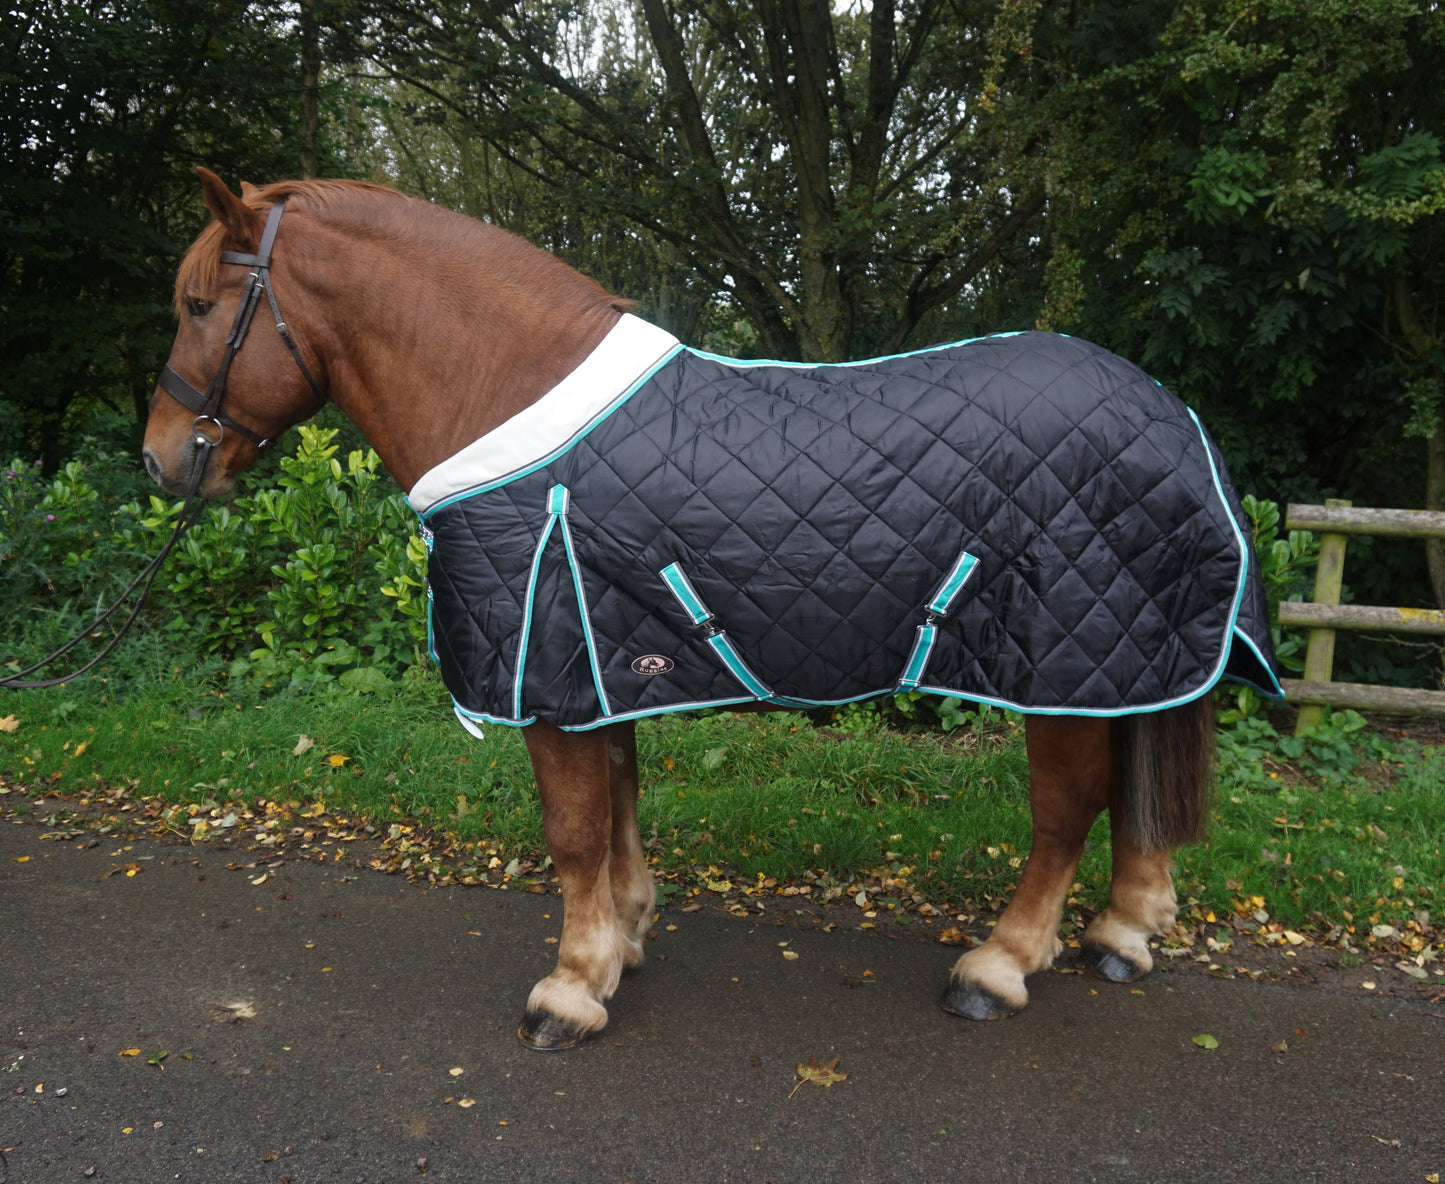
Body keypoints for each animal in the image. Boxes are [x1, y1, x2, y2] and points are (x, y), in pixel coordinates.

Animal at [143, 168, 1281, 1050]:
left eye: (200, 304)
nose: (160, 459)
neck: (507, 397)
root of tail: (1172, 416)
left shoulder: (552, 671)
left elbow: (572, 830)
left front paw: (568, 991)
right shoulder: (601, 665)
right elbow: (618, 808)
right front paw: (620, 945)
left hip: (1062, 664)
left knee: (1067, 807)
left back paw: (998, 968)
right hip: (1122, 658)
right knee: (1129, 787)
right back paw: (1120, 934)